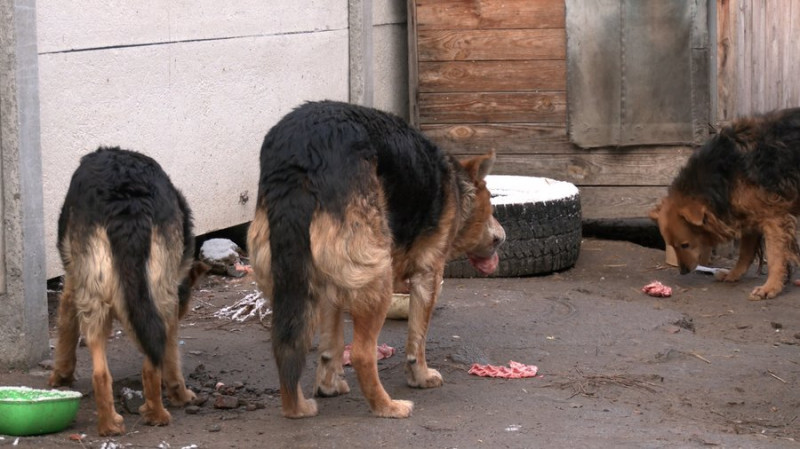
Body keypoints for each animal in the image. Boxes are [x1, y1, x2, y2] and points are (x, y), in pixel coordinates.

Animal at [49, 147, 206, 434]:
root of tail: (126, 201)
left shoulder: (72, 284)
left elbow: (66, 331)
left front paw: (61, 375)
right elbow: (171, 358)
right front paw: (180, 393)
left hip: (95, 295)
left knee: (101, 372)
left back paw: (111, 424)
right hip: (159, 297)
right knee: (150, 363)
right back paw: (155, 414)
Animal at [247, 100, 504, 416]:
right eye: (492, 203)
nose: (502, 238)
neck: (455, 185)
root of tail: (301, 157)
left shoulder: (333, 286)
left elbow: (331, 346)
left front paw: (329, 385)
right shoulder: (429, 274)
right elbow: (417, 339)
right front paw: (420, 377)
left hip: (295, 281)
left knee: (287, 343)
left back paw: (296, 407)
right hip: (379, 276)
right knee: (361, 353)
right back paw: (387, 406)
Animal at [648, 107, 800, 300]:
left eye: (685, 245)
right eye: (671, 245)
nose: (683, 272)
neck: (726, 171)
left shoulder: (774, 217)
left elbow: (775, 257)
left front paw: (770, 287)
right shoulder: (750, 215)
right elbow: (745, 253)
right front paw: (733, 274)